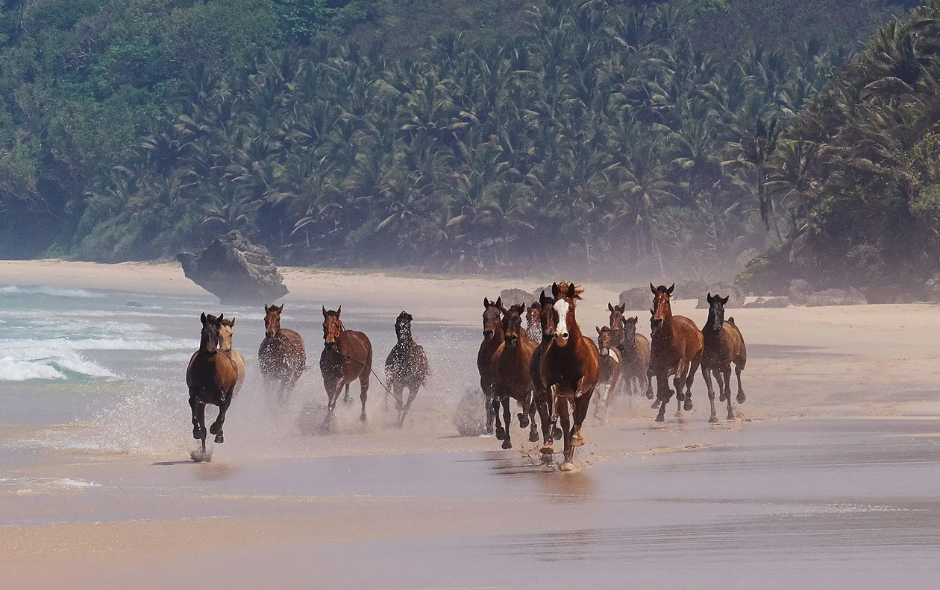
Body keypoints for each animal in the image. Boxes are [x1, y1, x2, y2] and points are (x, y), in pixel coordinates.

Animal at [186, 313, 240, 461]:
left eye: (217, 333)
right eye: (203, 332)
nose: (210, 352)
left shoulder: (222, 395)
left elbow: (222, 411)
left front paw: (216, 431)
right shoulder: (196, 397)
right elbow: (194, 409)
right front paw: (197, 432)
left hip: (230, 392)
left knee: (224, 409)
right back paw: (203, 451)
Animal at [491, 303, 539, 449]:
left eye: (519, 320)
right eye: (503, 321)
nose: (510, 338)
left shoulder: (526, 391)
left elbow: (528, 411)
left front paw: (527, 426)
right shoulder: (503, 392)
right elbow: (506, 415)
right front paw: (506, 439)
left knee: (532, 408)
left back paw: (533, 432)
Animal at [539, 282, 600, 470]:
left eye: (571, 308)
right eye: (553, 309)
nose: (560, 335)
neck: (568, 355)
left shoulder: (582, 385)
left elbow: (578, 411)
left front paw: (577, 438)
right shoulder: (554, 386)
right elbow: (553, 416)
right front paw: (548, 444)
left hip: (588, 392)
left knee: (577, 417)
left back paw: (570, 455)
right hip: (562, 397)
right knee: (566, 422)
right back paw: (566, 457)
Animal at [648, 284, 704, 422]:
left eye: (666, 301)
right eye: (654, 301)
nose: (657, 321)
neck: (668, 338)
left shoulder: (680, 361)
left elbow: (677, 381)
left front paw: (681, 396)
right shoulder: (661, 364)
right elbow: (663, 385)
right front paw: (660, 413)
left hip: (696, 357)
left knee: (689, 379)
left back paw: (687, 401)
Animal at [701, 293, 748, 422]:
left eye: (722, 310)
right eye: (711, 310)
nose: (716, 328)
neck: (716, 341)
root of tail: (731, 321)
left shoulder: (726, 367)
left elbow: (728, 389)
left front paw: (730, 414)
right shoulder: (705, 367)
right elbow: (711, 392)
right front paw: (713, 416)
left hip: (741, 359)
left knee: (738, 370)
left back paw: (741, 396)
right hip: (716, 367)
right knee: (718, 377)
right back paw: (722, 396)